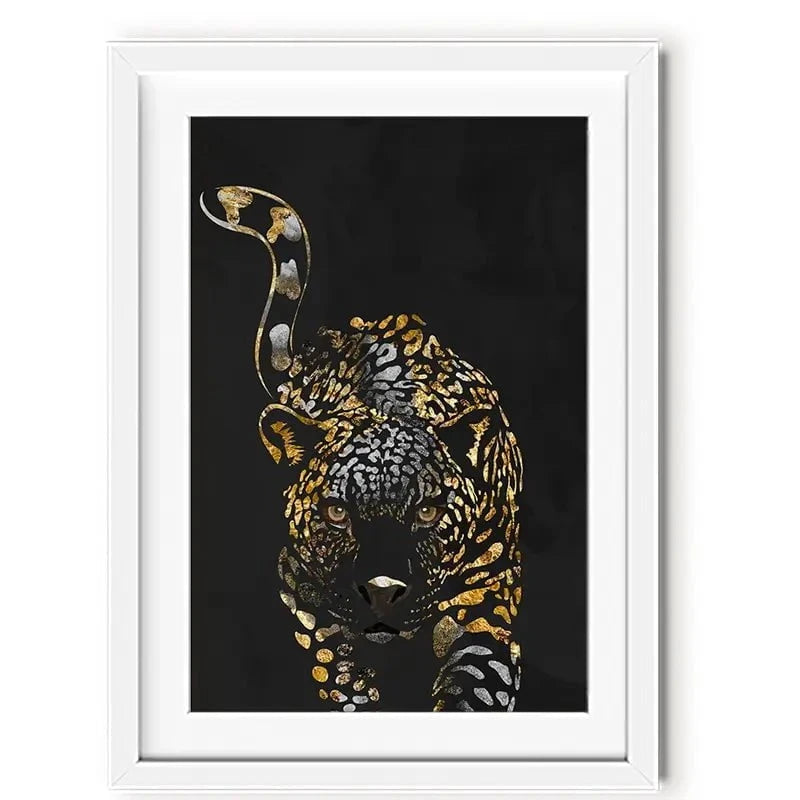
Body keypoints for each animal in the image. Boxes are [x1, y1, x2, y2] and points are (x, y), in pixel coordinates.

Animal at [201, 185, 525, 711]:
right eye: (336, 512)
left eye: (428, 511)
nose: (382, 590)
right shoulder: (306, 597)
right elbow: (342, 677)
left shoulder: (486, 602)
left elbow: (475, 687)